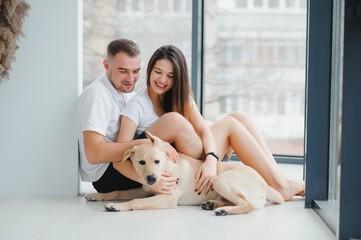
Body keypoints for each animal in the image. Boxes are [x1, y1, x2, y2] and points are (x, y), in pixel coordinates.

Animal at [86, 131, 282, 216]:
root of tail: (265, 184)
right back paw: (213, 204)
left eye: (157, 161)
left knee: (248, 204)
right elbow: (118, 192)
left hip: (220, 180)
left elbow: (135, 201)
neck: (166, 168)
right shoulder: (145, 189)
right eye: (141, 162)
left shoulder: (167, 198)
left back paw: (224, 210)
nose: (152, 178)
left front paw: (117, 206)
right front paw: (98, 196)